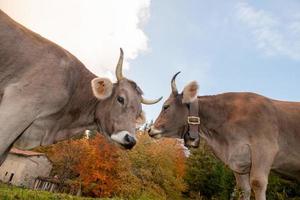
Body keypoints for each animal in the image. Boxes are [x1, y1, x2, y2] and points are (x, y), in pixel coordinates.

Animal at [149, 72, 300, 200]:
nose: (150, 129)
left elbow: (257, 183)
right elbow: (244, 190)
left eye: (166, 106)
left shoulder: (265, 149)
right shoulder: (239, 162)